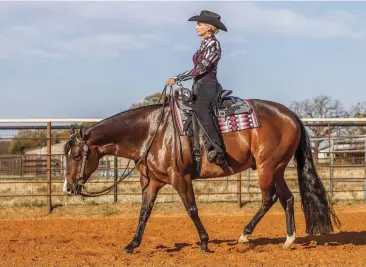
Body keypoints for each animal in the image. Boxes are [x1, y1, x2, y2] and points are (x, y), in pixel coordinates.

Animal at [63, 92, 340, 255]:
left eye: (76, 156)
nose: (67, 188)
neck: (154, 132)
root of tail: (291, 116)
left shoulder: (180, 178)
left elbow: (191, 209)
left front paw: (205, 243)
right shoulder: (151, 182)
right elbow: (144, 213)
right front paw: (132, 244)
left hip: (267, 168)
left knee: (268, 198)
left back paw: (245, 235)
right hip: (278, 169)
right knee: (287, 198)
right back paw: (288, 240)